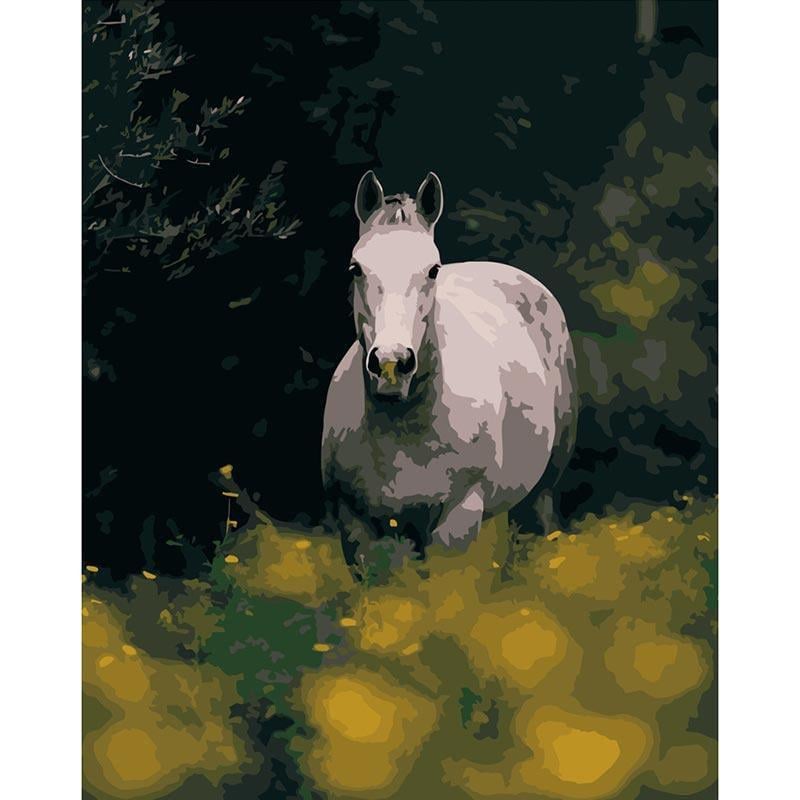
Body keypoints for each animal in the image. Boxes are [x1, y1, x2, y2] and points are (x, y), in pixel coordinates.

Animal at [321, 170, 577, 570]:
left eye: (432, 270)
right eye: (355, 268)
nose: (392, 363)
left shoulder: (457, 519)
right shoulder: (358, 528)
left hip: (540, 497)